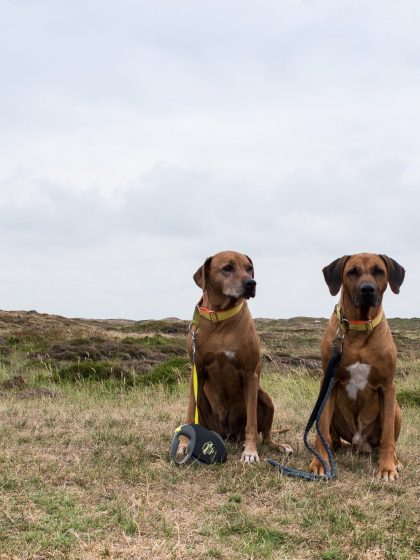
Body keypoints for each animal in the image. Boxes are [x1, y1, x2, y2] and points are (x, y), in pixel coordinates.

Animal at [310, 254, 406, 482]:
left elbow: (388, 435)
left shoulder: (387, 386)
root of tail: (358, 441)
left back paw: (395, 460)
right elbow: (321, 430)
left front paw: (387, 468)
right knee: (330, 436)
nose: (367, 289)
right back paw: (333, 448)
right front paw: (319, 462)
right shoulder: (329, 382)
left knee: (389, 438)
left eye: (379, 271)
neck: (359, 328)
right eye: (352, 272)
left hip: (396, 409)